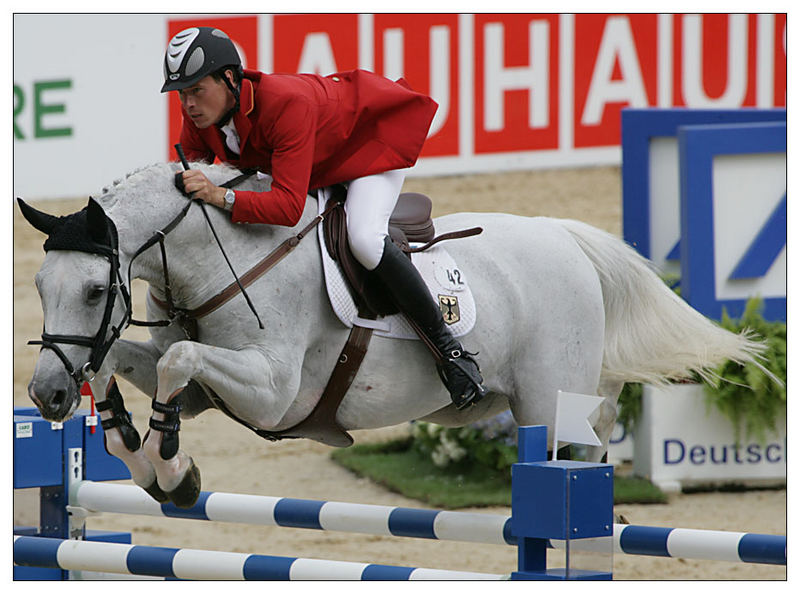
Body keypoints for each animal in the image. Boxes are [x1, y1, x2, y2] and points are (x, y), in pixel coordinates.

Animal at [21, 161, 764, 504]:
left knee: (578, 445)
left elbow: (177, 360)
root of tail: (567, 237)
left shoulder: (274, 392)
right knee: (599, 424)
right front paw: (134, 447)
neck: (222, 255)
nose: (47, 397)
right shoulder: (210, 386)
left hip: (548, 400)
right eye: (39, 288)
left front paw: (173, 471)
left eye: (94, 291)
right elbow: (132, 360)